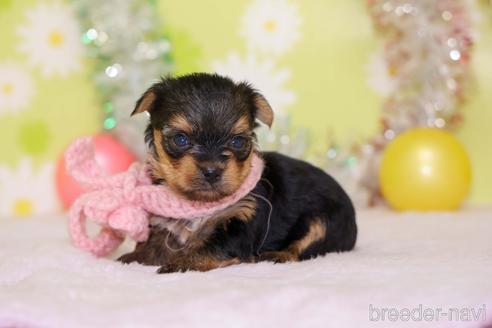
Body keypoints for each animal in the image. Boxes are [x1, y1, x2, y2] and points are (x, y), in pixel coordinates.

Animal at [119, 73, 358, 272]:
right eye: (180, 139)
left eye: (237, 141)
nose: (212, 171)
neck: (200, 204)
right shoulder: (164, 223)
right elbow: (155, 243)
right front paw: (134, 258)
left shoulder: (242, 220)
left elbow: (210, 247)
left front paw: (181, 263)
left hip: (326, 220)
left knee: (306, 243)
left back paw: (277, 255)